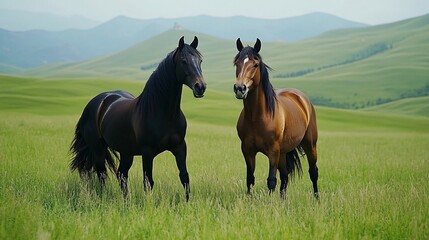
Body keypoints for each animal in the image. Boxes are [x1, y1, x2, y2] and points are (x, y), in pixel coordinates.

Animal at [70, 36, 206, 201]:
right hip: (98, 149)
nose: (201, 87)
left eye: (200, 60)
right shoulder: (147, 153)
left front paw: (187, 203)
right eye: (183, 61)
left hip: (126, 152)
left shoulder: (180, 147)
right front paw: (149, 204)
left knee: (121, 174)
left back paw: (126, 201)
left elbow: (184, 177)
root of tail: (96, 102)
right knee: (102, 174)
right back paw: (106, 197)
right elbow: (148, 182)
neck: (164, 113)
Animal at [231, 38, 318, 199]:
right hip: (282, 153)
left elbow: (271, 180)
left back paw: (317, 199)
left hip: (310, 145)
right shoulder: (247, 150)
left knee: (313, 172)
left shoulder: (273, 150)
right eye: (237, 63)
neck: (256, 117)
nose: (240, 88)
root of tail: (303, 99)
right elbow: (250, 178)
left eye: (255, 64)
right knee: (284, 176)